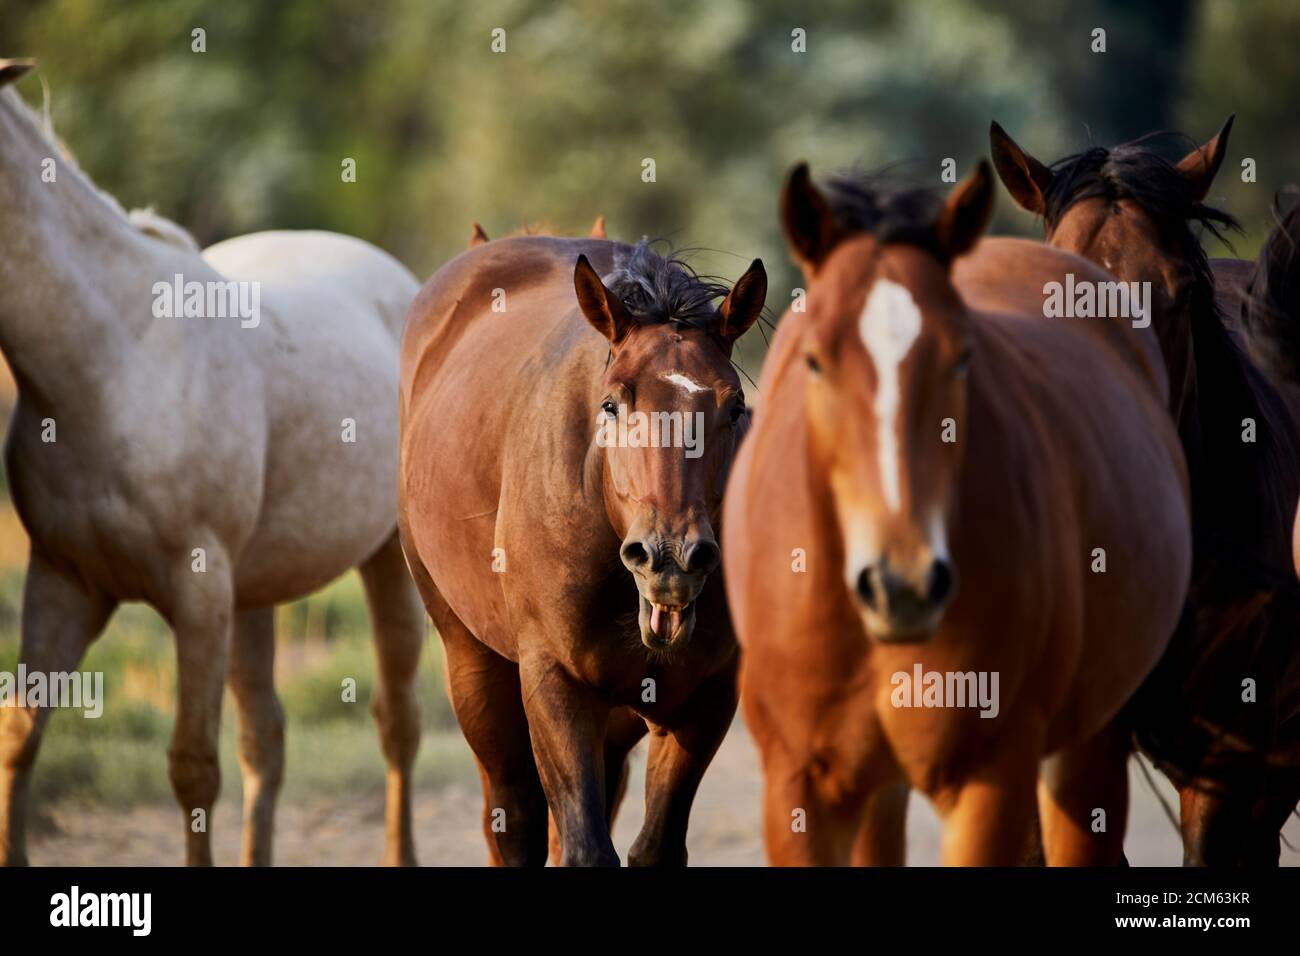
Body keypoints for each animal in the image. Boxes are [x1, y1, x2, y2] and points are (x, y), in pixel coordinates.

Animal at [0, 61, 426, 866]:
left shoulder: (197, 595)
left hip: (387, 559)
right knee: (269, 739)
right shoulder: (61, 581)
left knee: (399, 723)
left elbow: (192, 767)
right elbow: (20, 736)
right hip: (254, 595)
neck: (114, 360)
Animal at [398, 234, 765, 865]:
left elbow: (654, 846)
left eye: (734, 406)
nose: (670, 557)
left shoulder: (706, 699)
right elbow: (584, 847)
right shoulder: (555, 683)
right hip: (471, 663)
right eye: (613, 404)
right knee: (514, 818)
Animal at [723, 161, 1191, 865]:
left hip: (1088, 748)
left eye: (963, 356)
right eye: (814, 360)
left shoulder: (987, 781)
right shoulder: (797, 786)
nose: (903, 585)